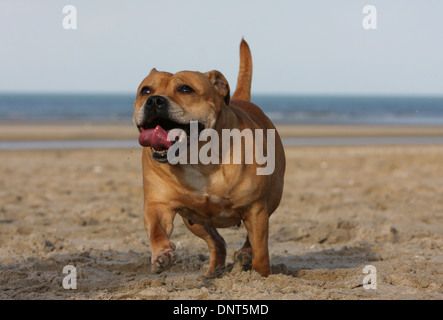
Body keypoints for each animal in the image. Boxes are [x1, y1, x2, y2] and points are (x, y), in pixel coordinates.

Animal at [133, 40, 284, 276]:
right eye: (145, 90)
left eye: (185, 89)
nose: (154, 100)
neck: (198, 159)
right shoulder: (158, 204)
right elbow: (157, 230)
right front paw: (161, 254)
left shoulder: (255, 208)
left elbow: (261, 250)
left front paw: (262, 275)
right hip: (195, 221)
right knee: (217, 243)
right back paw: (214, 271)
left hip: (271, 199)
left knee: (252, 237)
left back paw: (246, 253)